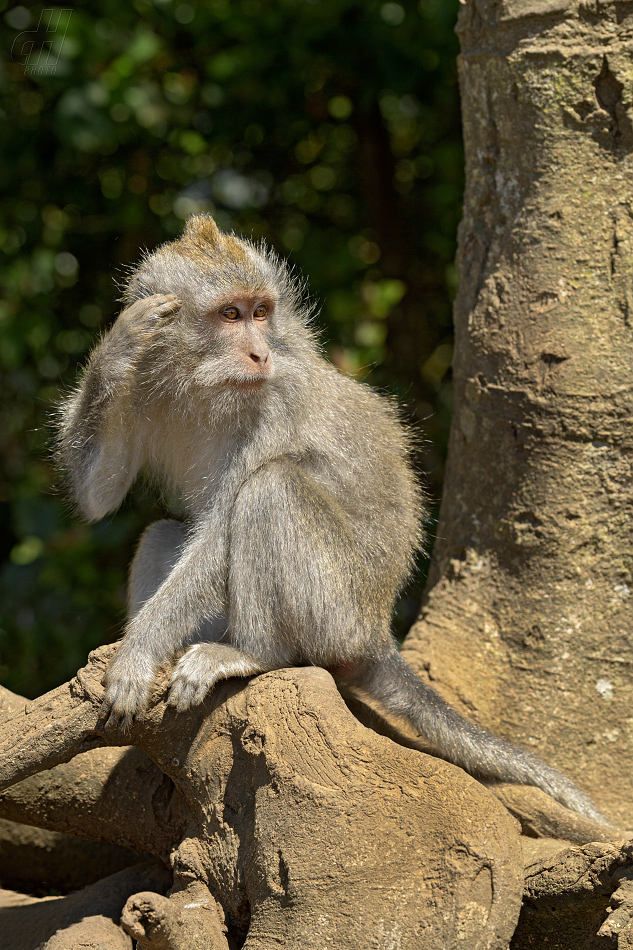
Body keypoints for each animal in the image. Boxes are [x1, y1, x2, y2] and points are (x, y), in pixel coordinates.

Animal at [59, 216, 604, 824]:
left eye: (261, 312)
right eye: (230, 315)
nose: (258, 355)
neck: (202, 383)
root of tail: (375, 632)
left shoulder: (278, 401)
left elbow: (220, 532)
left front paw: (137, 656)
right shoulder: (146, 388)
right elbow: (100, 493)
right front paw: (121, 339)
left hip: (334, 611)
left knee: (270, 490)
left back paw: (253, 654)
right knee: (164, 531)